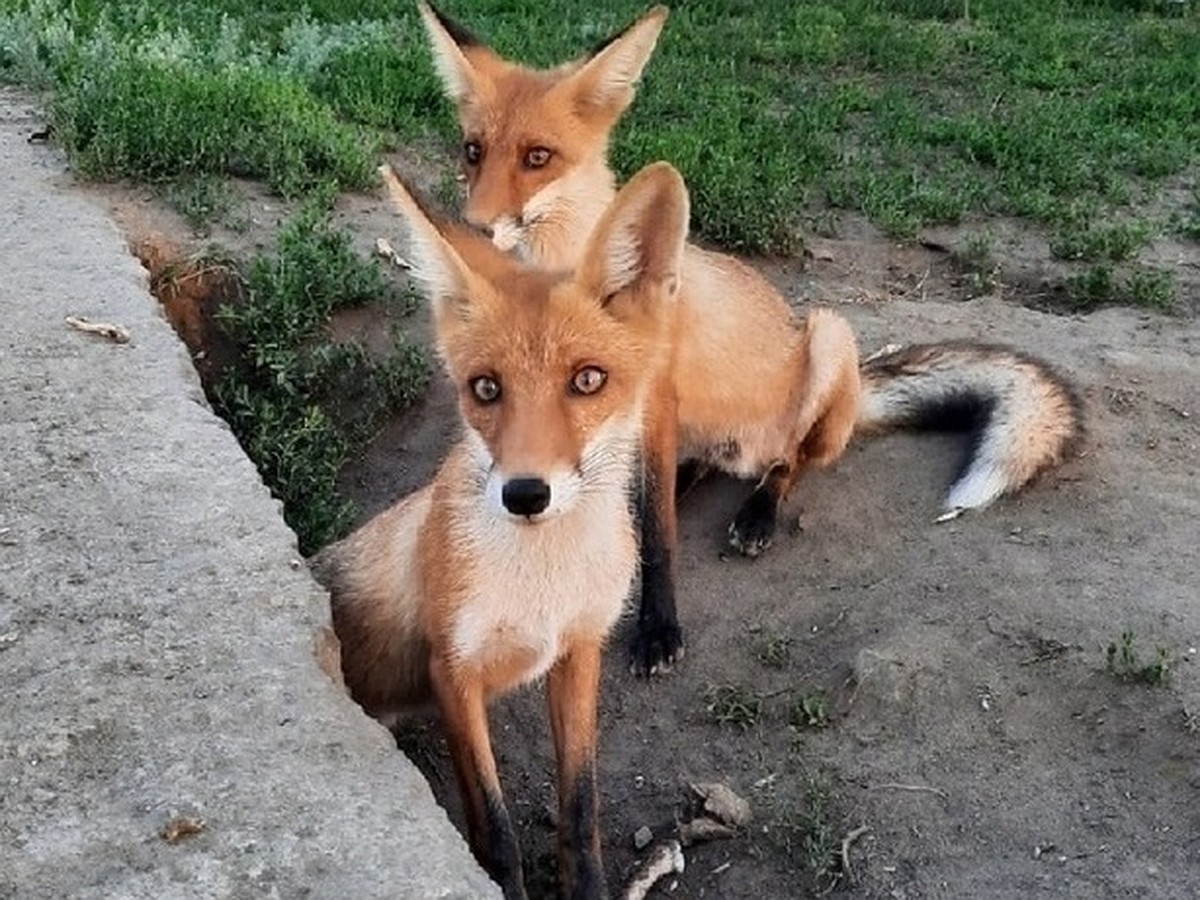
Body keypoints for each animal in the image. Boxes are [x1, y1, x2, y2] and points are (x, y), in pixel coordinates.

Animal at [314, 162, 691, 900]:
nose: (525, 493)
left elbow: (580, 807)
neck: (542, 588)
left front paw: (589, 888)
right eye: (485, 389)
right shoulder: (452, 672)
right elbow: (496, 831)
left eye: (588, 380)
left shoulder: (579, 650)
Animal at [417, 0, 1084, 676]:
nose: (472, 227)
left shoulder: (650, 403)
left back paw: (759, 512)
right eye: (473, 151)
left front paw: (658, 628)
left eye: (538, 157)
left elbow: (657, 537)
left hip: (827, 337)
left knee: (792, 460)